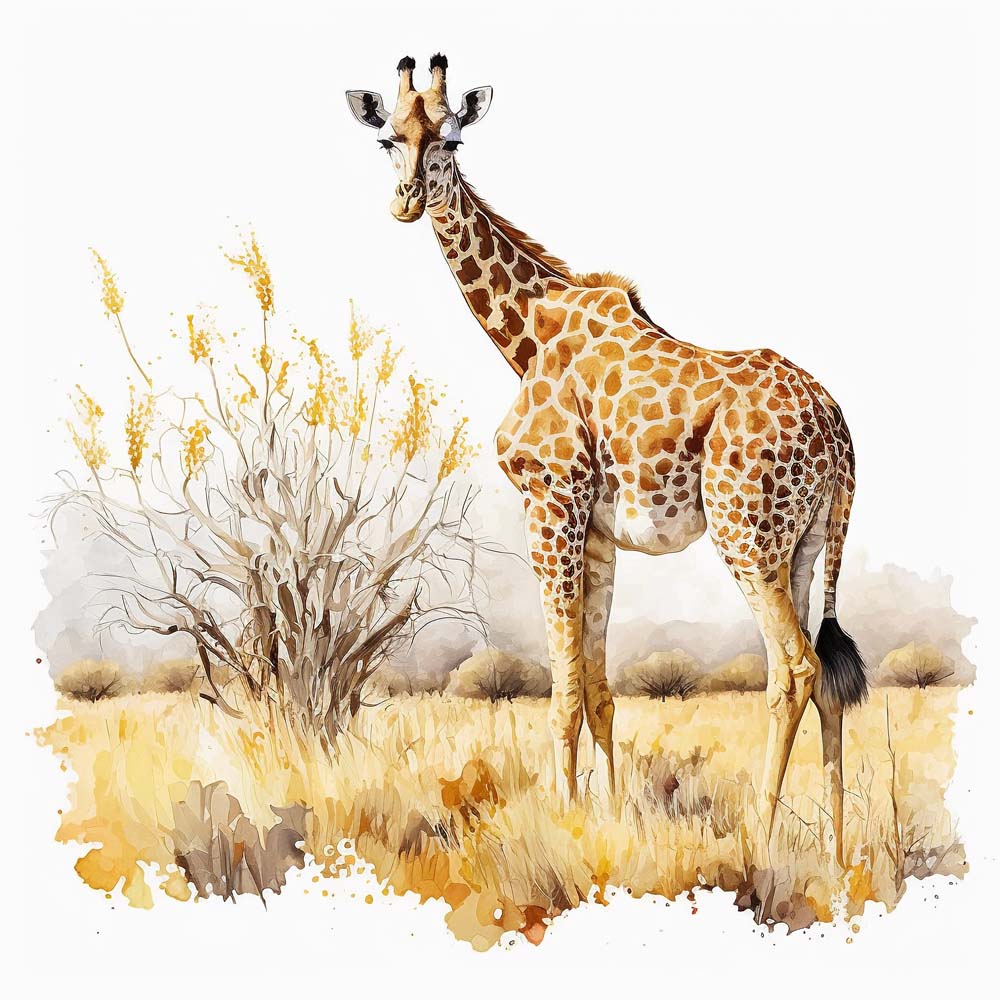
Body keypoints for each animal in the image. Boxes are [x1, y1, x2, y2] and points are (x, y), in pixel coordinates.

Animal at [347, 55, 868, 865]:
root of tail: (839, 430)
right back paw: (838, 849)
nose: (406, 202)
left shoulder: (551, 505)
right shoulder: (596, 534)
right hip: (808, 544)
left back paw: (763, 833)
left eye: (452, 140)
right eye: (387, 140)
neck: (527, 334)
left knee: (795, 668)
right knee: (827, 673)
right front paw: (609, 813)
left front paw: (565, 822)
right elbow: (598, 690)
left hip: (746, 537)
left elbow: (562, 693)